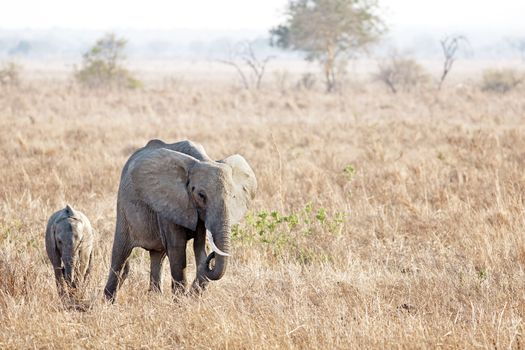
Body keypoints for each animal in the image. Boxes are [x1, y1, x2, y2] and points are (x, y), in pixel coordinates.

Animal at [104, 139, 256, 300]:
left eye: (233, 197)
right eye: (201, 195)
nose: (213, 255)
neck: (202, 160)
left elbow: (199, 248)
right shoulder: (171, 203)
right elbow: (178, 251)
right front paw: (180, 301)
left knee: (157, 256)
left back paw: (154, 298)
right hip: (123, 210)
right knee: (120, 254)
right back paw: (108, 301)